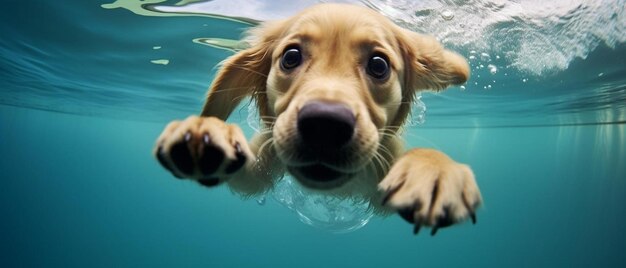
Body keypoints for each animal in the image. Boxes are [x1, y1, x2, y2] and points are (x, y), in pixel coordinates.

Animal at [154, 3, 480, 234]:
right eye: (291, 57)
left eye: (379, 65)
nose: (325, 125)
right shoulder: (263, 165)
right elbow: (245, 175)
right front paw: (207, 132)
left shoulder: (383, 173)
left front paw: (434, 170)